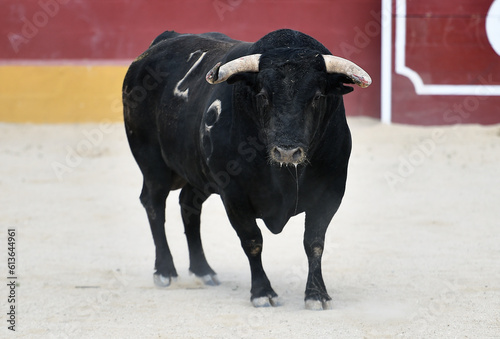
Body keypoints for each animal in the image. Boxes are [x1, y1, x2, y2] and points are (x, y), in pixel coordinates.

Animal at [122, 29, 372, 310]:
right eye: (262, 95)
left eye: (317, 97)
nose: (287, 151)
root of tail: (161, 42)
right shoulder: (235, 196)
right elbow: (252, 240)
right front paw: (262, 292)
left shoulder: (331, 192)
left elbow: (314, 242)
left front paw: (317, 295)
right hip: (152, 163)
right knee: (154, 204)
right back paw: (165, 271)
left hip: (197, 175)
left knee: (189, 206)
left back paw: (203, 270)